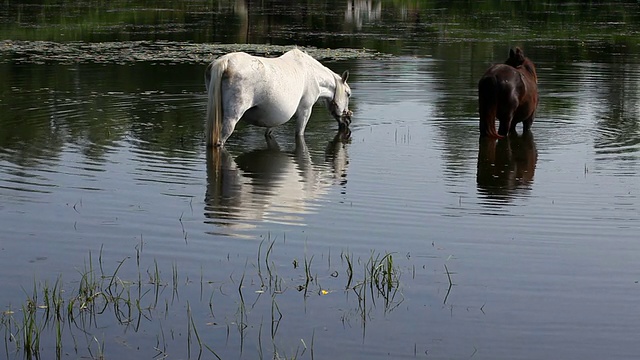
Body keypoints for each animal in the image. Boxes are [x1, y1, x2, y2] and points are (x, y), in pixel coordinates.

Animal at [205, 48, 352, 147]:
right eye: (348, 94)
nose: (348, 120)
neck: (313, 74)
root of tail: (225, 62)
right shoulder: (305, 111)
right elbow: (299, 134)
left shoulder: (274, 121)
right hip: (231, 118)